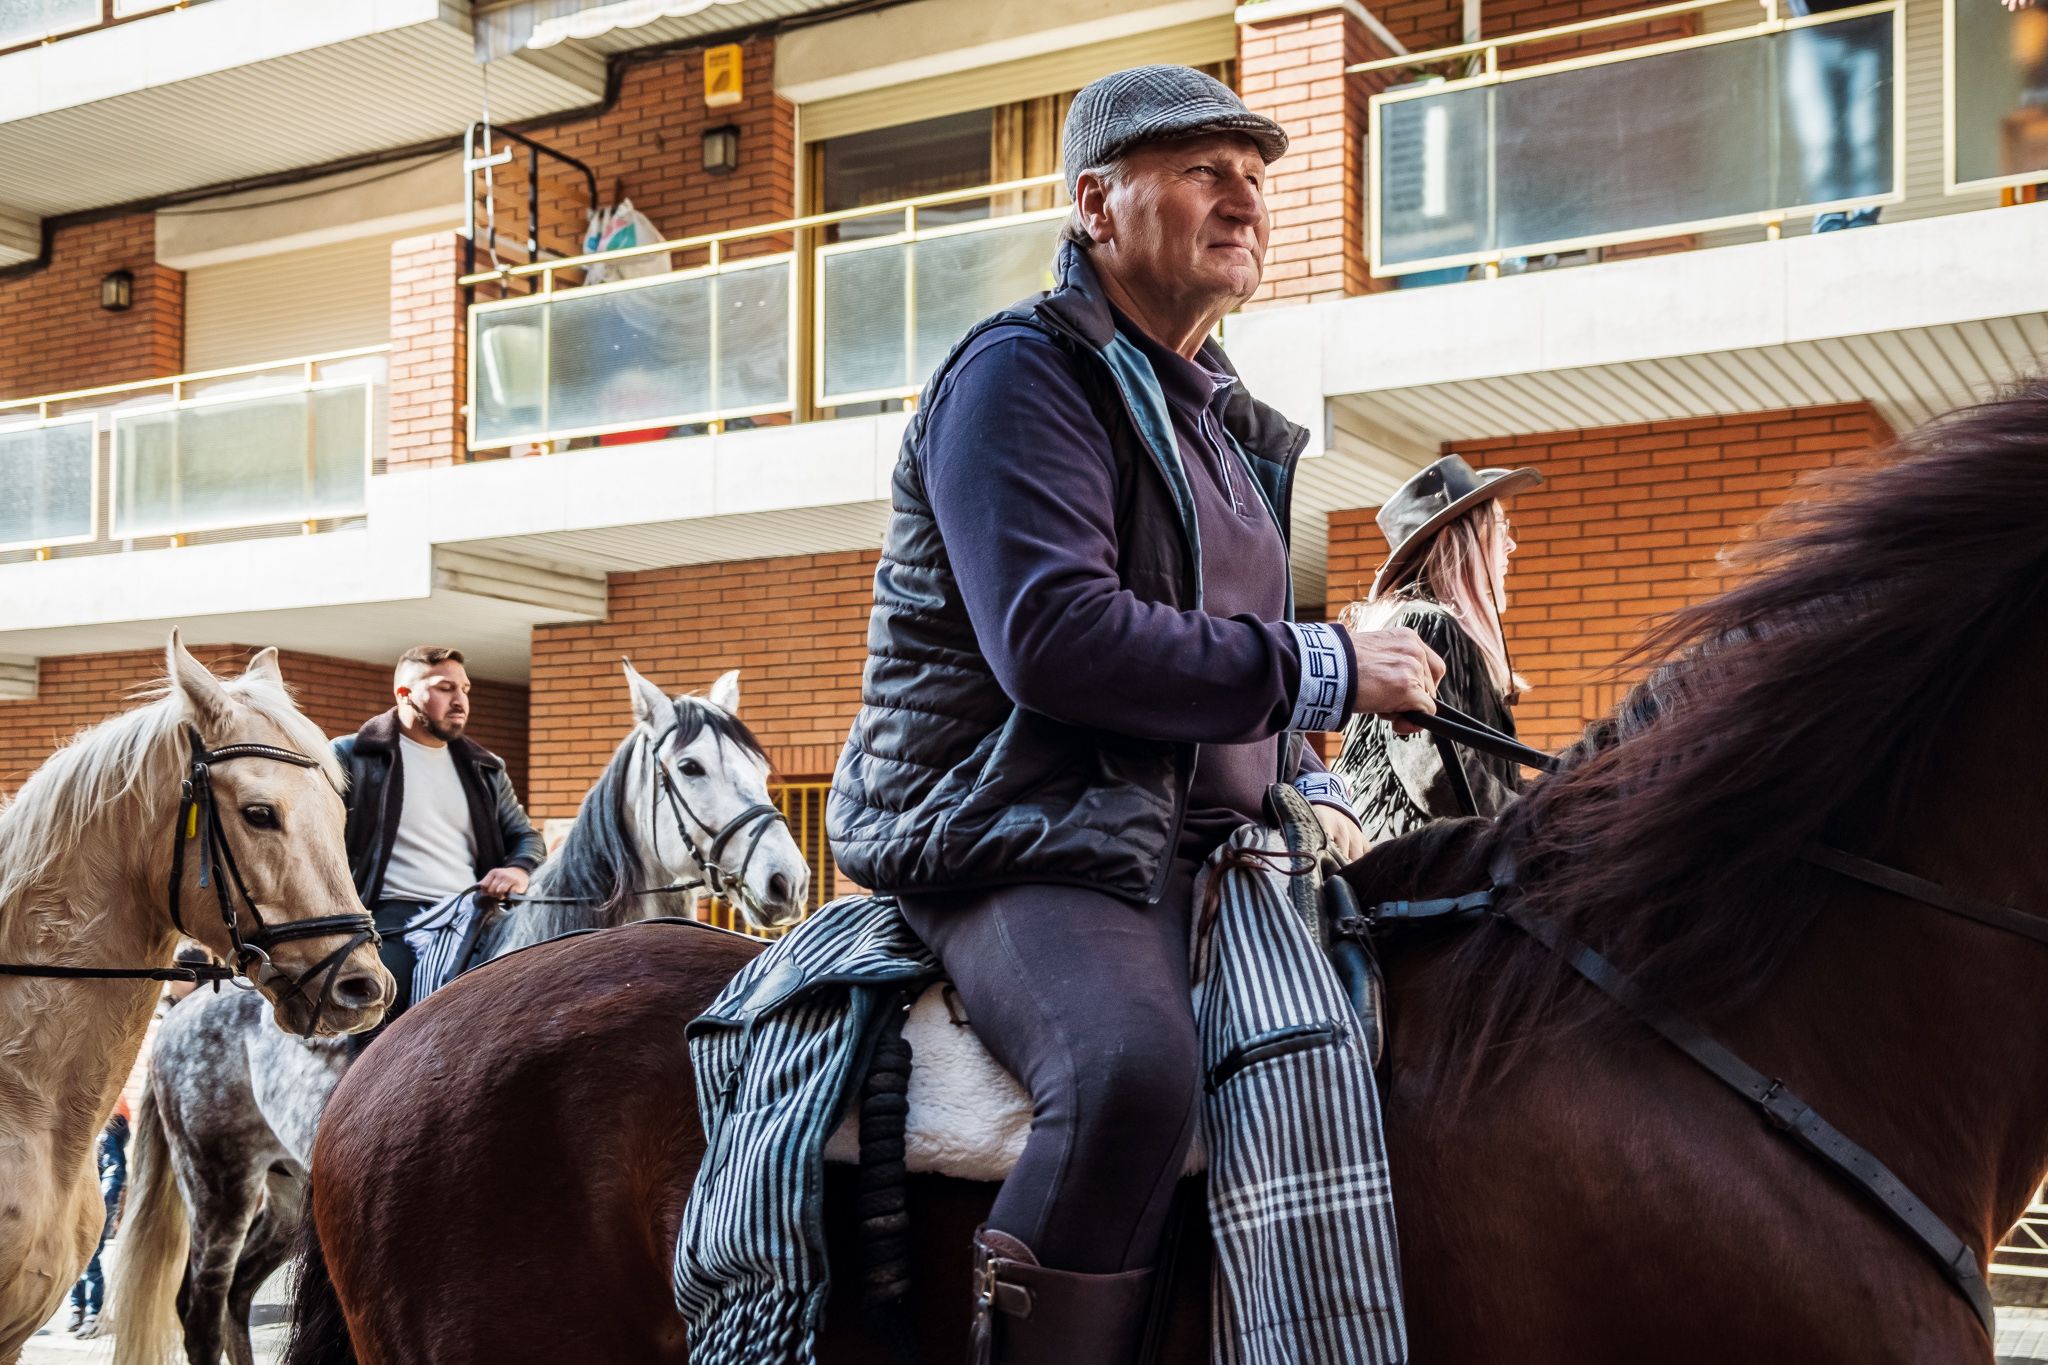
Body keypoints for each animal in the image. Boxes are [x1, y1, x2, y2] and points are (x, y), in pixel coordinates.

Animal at [108, 663, 802, 1365]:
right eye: (690, 766)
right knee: (202, 1306)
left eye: (760, 767)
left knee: (239, 1297)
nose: (786, 881)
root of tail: (186, 1013)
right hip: (220, 1183)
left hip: (281, 1189)